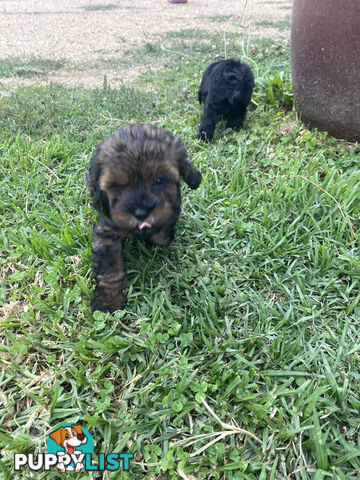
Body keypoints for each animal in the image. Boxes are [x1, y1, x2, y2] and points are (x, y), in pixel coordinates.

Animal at [86, 124, 201, 312]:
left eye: (160, 180)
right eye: (117, 186)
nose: (141, 213)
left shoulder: (172, 207)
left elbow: (164, 234)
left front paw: (155, 236)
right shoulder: (107, 234)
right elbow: (110, 271)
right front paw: (109, 301)